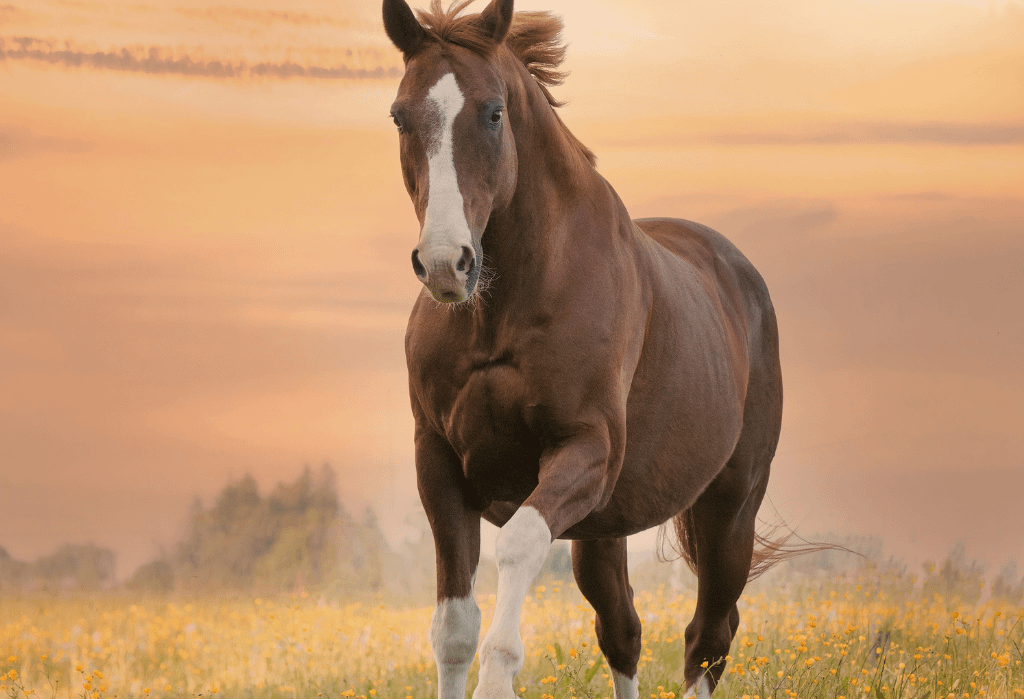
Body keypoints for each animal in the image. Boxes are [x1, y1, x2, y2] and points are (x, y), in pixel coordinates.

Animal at [383, 1, 790, 696]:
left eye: (493, 112)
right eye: (400, 115)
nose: (445, 263)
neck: (502, 308)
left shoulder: (584, 450)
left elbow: (518, 551)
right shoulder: (437, 464)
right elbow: (454, 629)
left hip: (729, 509)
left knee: (708, 638)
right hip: (603, 531)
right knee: (623, 631)